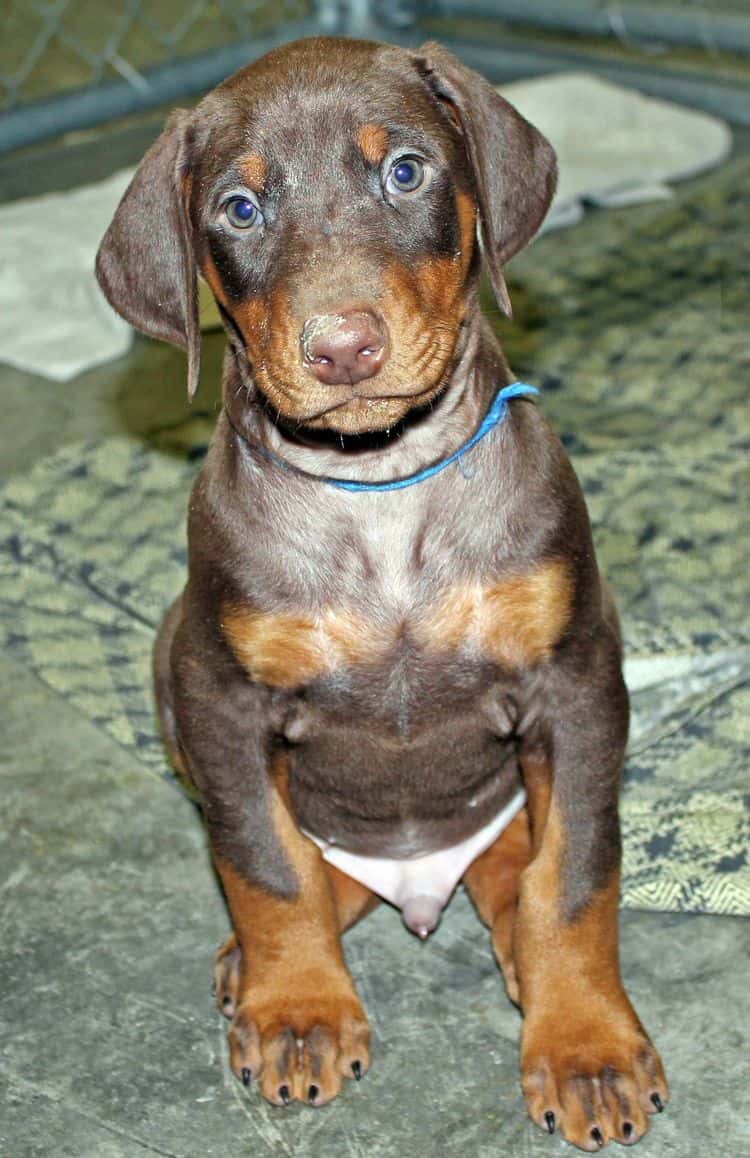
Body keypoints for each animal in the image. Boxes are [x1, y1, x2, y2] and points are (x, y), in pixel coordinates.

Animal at [95, 33, 666, 1148]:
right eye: (239, 207)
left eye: (405, 172)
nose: (343, 348)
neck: (382, 488)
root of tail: (415, 882)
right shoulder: (219, 695)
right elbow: (265, 865)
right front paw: (298, 1011)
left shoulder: (577, 677)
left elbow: (576, 872)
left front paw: (586, 1045)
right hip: (170, 657)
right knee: (315, 868)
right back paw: (255, 965)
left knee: (514, 860)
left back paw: (516, 946)